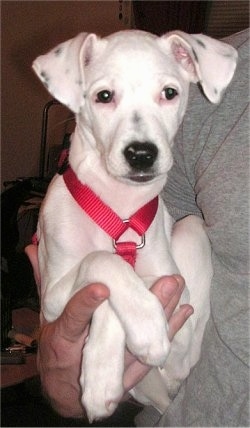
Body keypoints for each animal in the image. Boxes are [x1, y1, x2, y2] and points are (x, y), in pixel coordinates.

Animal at [32, 29, 237, 422]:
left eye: (169, 93)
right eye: (104, 96)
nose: (142, 154)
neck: (119, 206)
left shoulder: (175, 286)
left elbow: (118, 279)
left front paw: (124, 347)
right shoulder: (51, 298)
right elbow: (104, 264)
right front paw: (139, 327)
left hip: (192, 232)